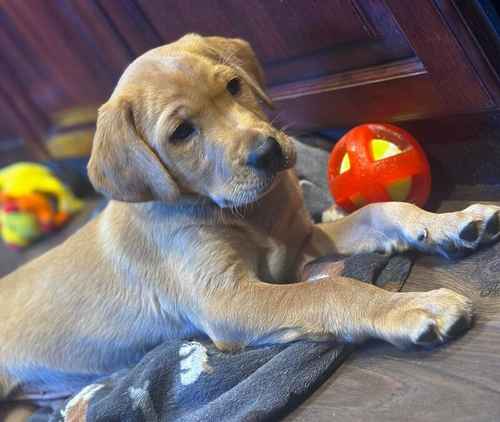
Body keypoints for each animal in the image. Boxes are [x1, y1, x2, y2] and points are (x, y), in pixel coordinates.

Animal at [0, 33, 500, 402]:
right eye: (181, 132)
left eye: (233, 87)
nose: (268, 152)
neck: (246, 211)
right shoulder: (226, 298)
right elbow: (332, 289)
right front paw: (412, 306)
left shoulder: (302, 241)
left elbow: (381, 209)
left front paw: (452, 221)